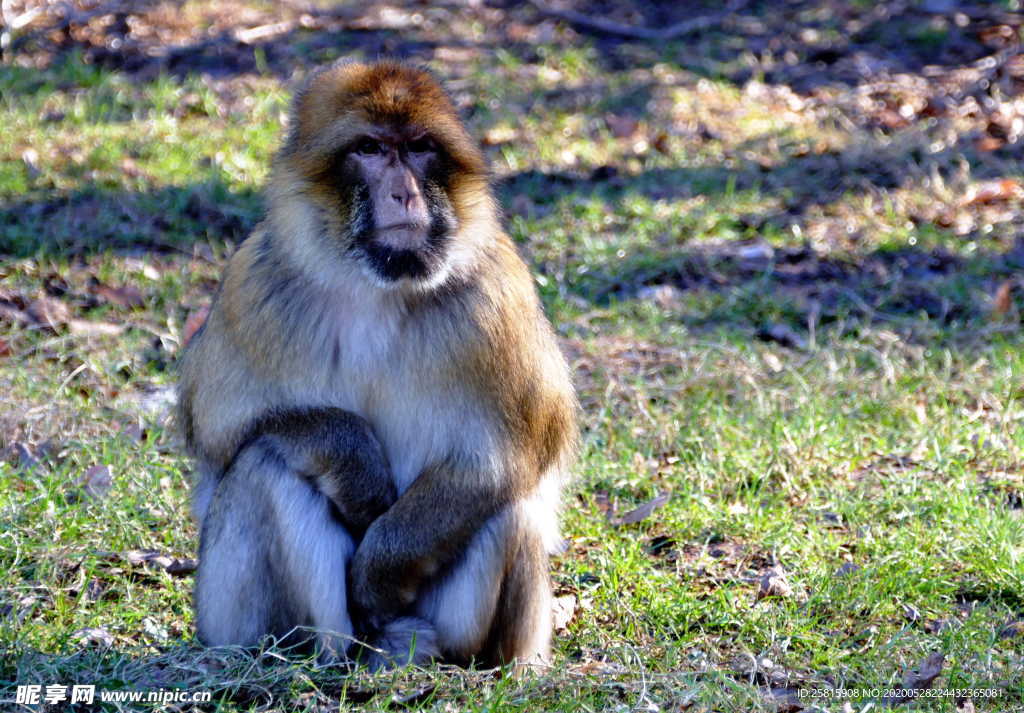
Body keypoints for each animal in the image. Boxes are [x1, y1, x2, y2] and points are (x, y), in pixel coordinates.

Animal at [176, 59, 577, 667]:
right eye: (368, 148)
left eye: (419, 148)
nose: (402, 193)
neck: (377, 286)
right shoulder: (255, 286)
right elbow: (221, 428)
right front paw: (357, 465)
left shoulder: (495, 296)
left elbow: (498, 460)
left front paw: (378, 573)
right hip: (231, 619)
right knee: (265, 463)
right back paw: (325, 653)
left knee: (509, 500)